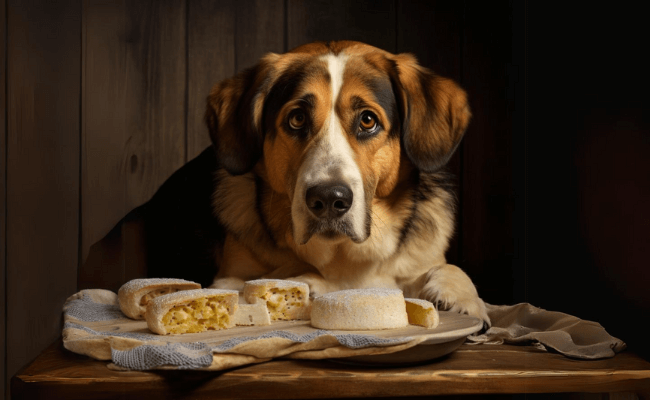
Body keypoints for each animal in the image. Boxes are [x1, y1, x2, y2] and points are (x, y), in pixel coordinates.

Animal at [204, 41, 492, 324]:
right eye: (297, 119)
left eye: (367, 120)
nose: (329, 198)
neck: (343, 255)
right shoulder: (227, 279)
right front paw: (310, 280)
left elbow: (450, 269)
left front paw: (462, 297)